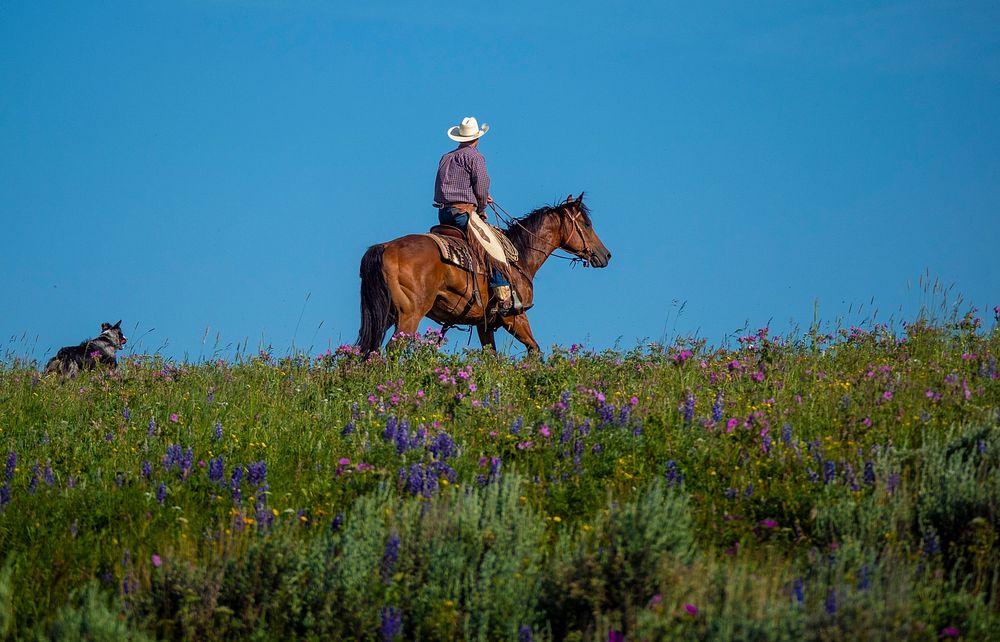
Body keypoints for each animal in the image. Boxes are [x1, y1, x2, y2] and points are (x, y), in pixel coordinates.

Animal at [356, 192, 612, 352]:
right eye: (587, 224)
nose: (606, 255)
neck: (520, 257)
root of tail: (385, 247)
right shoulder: (514, 316)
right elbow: (534, 349)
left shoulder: (484, 323)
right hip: (410, 314)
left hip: (386, 315)